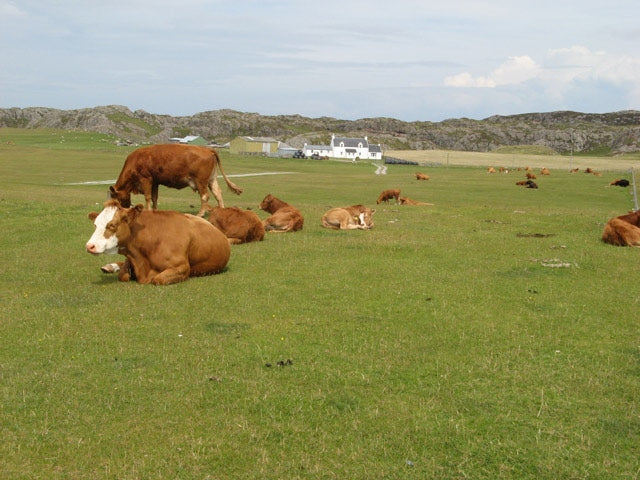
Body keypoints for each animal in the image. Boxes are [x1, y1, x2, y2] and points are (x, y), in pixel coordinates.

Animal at [86, 200, 230, 285]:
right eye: (95, 224)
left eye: (112, 225)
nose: (90, 246)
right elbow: (123, 275)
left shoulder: (182, 267)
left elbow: (157, 279)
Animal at [108, 144, 243, 216]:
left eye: (115, 198)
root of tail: (207, 149)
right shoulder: (155, 182)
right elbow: (154, 197)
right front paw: (155, 210)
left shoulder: (146, 179)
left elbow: (147, 197)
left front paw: (148, 210)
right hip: (211, 179)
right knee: (217, 193)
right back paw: (222, 211)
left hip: (201, 181)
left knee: (205, 196)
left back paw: (200, 214)